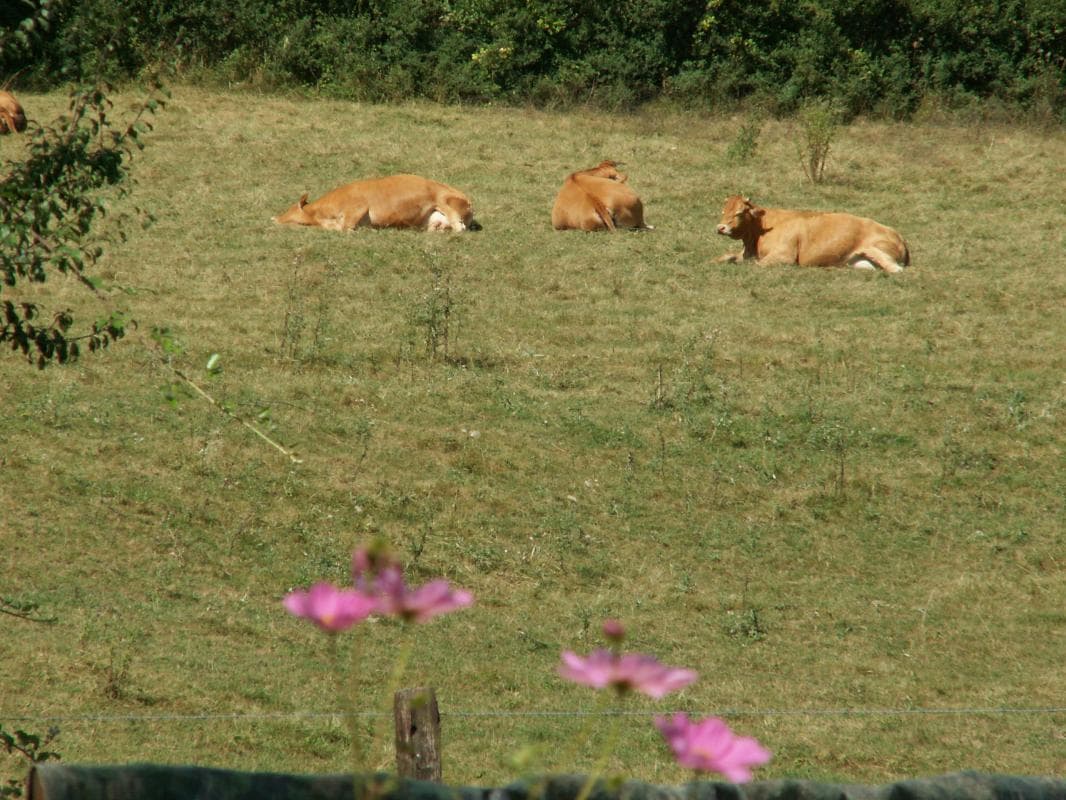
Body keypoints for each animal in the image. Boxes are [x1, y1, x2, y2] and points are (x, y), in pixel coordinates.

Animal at [273, 174, 478, 232]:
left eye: (290, 209)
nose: (274, 218)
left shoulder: (357, 208)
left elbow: (346, 228)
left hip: (443, 199)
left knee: (459, 227)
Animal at [715, 195, 909, 273]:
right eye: (723, 211)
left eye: (740, 212)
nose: (720, 227)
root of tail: (898, 235)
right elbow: (724, 257)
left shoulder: (784, 256)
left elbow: (756, 265)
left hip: (875, 250)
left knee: (896, 269)